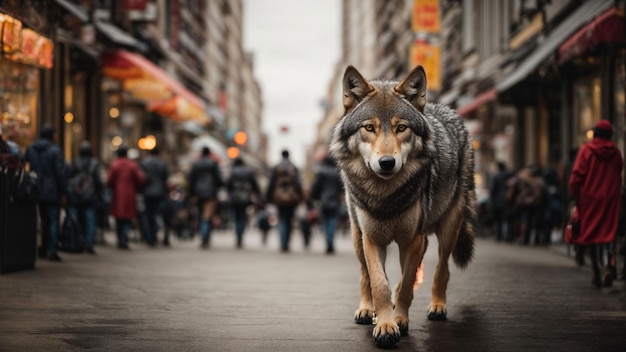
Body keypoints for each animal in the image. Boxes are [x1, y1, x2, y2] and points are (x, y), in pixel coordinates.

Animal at [326, 65, 472, 346]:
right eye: (369, 127)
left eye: (401, 127)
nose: (386, 162)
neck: (386, 195)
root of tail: (444, 108)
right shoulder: (372, 239)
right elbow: (379, 283)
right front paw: (385, 324)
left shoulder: (412, 240)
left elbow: (406, 283)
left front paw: (399, 320)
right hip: (357, 236)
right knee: (364, 275)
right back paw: (366, 310)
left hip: (448, 228)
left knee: (442, 269)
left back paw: (437, 306)